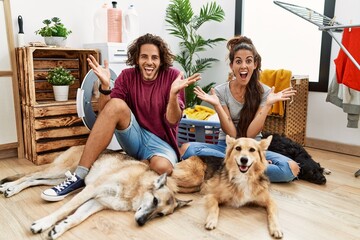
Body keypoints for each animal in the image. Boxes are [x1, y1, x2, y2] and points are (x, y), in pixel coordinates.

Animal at [0, 145, 191, 239]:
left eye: (160, 215)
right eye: (155, 201)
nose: (141, 222)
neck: (136, 188)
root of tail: (80, 145)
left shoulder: (96, 203)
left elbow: (76, 218)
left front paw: (60, 228)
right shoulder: (90, 190)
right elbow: (64, 210)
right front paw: (43, 223)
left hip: (58, 177)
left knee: (34, 180)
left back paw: (12, 188)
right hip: (58, 170)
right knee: (30, 175)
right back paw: (8, 187)